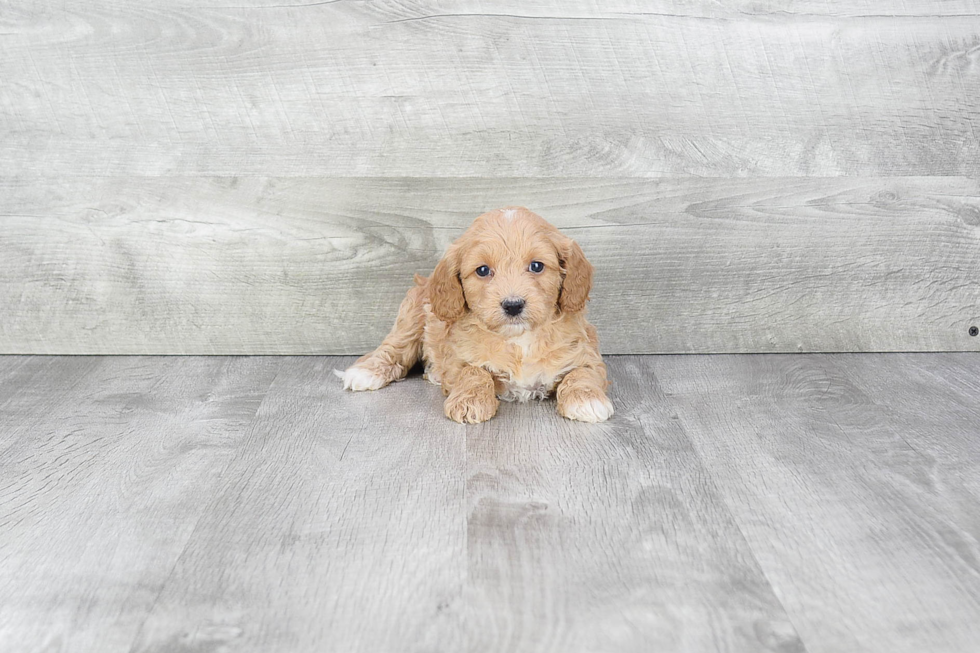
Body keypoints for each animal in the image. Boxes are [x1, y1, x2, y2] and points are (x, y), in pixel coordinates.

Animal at [336, 206, 612, 426]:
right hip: (411, 317)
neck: (518, 341)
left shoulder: (586, 352)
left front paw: (587, 400)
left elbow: (582, 373)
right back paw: (366, 372)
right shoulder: (458, 358)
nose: (513, 305)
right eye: (482, 270)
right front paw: (470, 402)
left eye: (536, 266)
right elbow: (474, 373)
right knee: (394, 347)